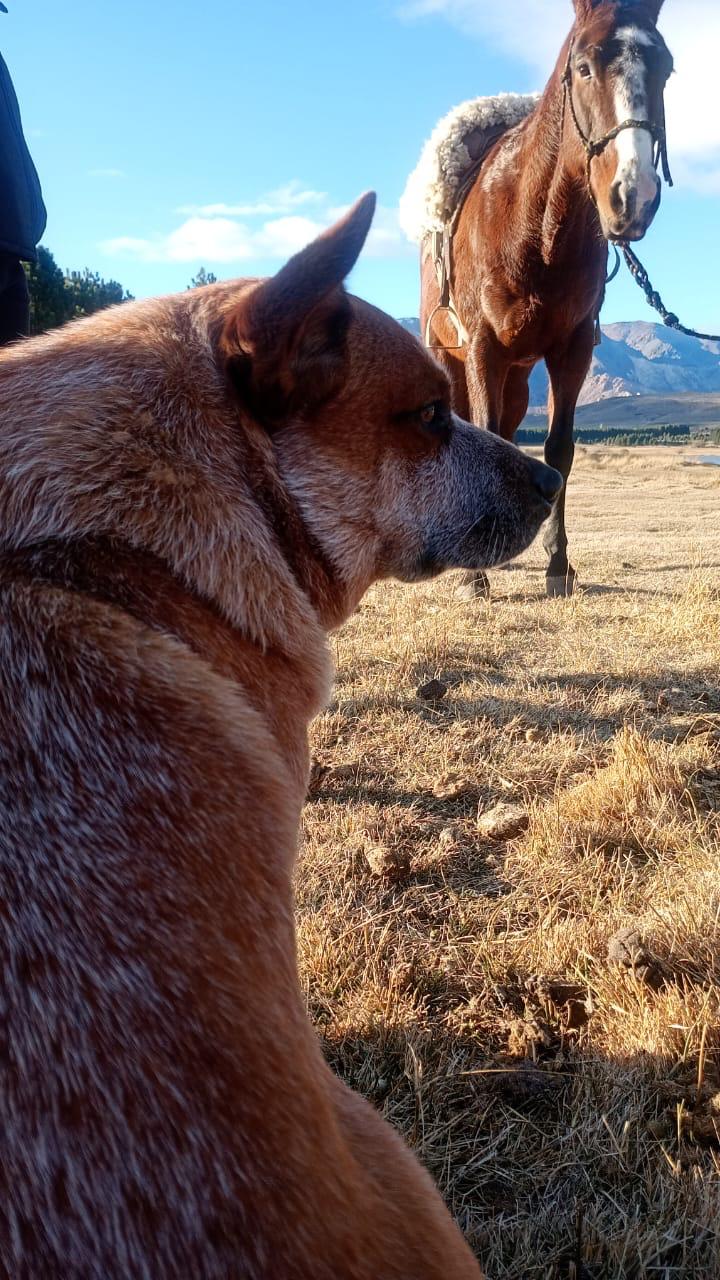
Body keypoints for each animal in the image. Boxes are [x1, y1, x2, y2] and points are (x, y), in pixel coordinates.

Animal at [405, 0, 673, 597]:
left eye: (665, 69)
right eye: (584, 67)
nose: (633, 196)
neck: (537, 228)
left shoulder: (571, 351)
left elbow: (558, 450)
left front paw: (557, 564)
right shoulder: (483, 347)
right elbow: (480, 436)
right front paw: (475, 576)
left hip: (520, 377)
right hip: (452, 358)